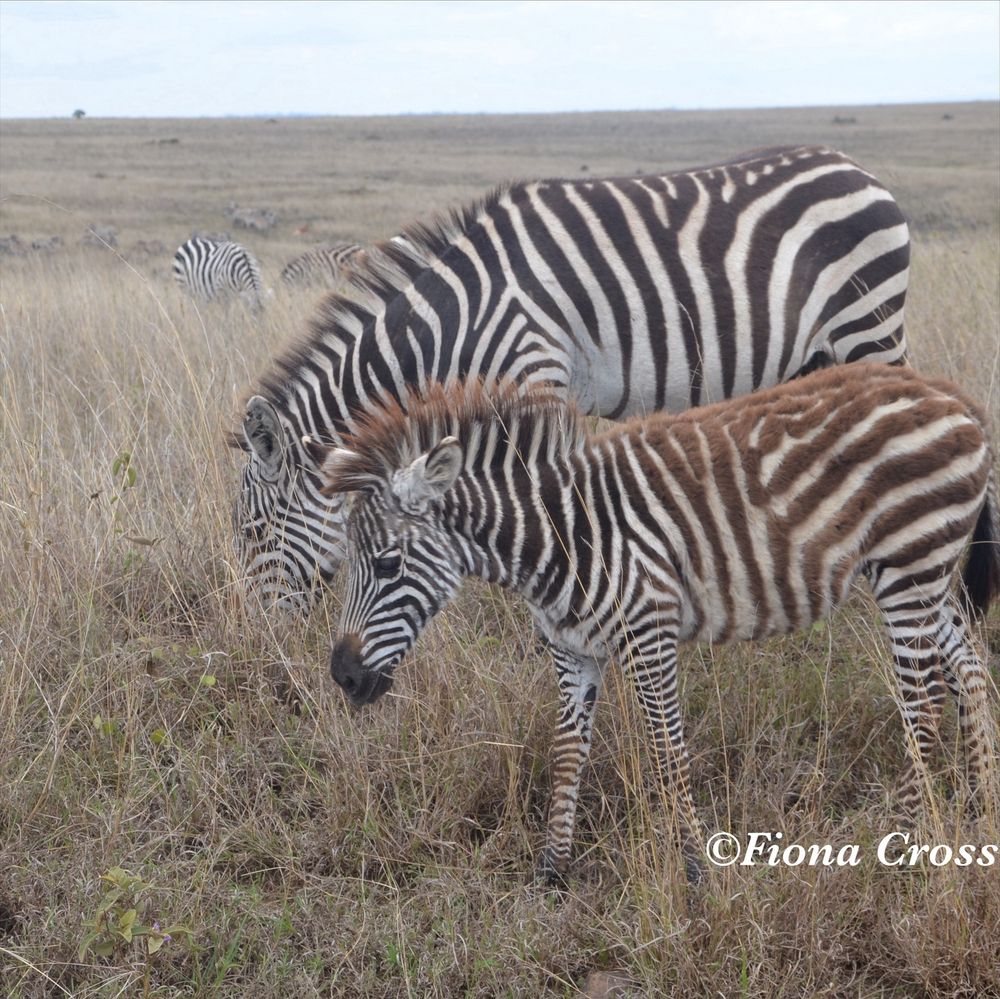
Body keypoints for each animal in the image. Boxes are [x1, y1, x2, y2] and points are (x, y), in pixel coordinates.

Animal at [230, 145, 911, 612]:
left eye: (252, 531)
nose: (266, 634)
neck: (453, 325)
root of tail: (853, 167)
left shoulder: (538, 380)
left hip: (869, 326)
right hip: (816, 355)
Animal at [310, 366, 998, 884]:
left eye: (389, 564)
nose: (342, 676)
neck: (563, 536)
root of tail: (953, 397)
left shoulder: (649, 633)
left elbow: (668, 753)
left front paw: (696, 868)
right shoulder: (572, 650)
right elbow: (567, 752)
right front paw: (552, 870)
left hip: (908, 566)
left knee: (923, 701)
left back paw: (902, 844)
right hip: (927, 574)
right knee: (970, 670)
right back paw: (981, 803)